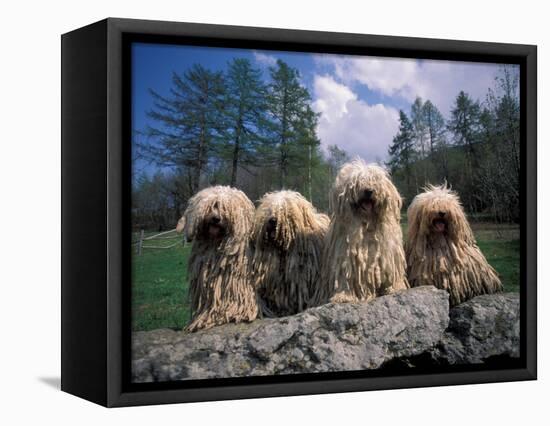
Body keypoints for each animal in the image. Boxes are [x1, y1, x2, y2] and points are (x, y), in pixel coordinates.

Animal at [314, 158, 410, 304]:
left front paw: (394, 288)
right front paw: (343, 296)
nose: (369, 191)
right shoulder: (345, 255)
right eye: (357, 183)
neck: (367, 222)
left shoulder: (388, 253)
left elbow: (391, 272)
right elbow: (345, 276)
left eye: (375, 180)